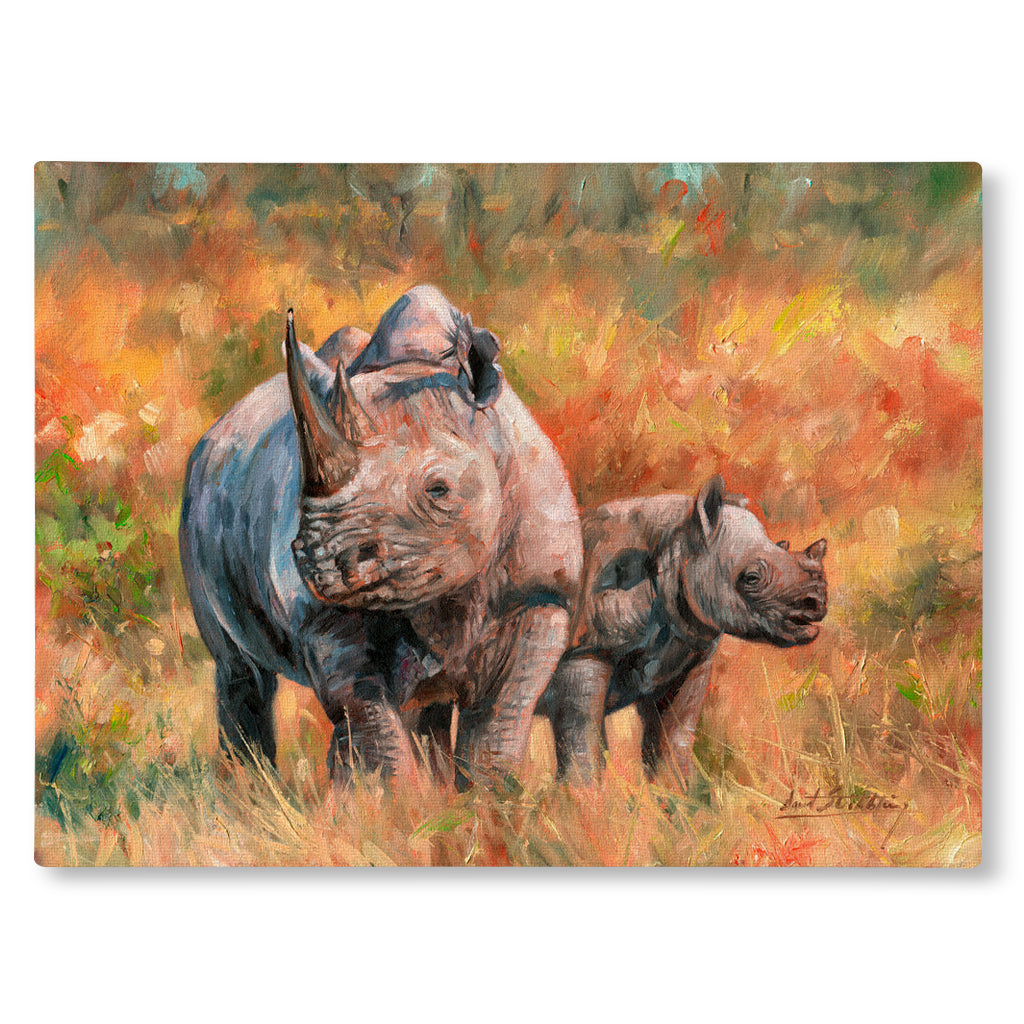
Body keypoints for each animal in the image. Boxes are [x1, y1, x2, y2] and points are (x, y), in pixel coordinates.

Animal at [179, 286, 583, 785]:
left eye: (438, 489)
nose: (323, 562)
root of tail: (213, 432)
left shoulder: (540, 593)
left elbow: (498, 719)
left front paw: (488, 800)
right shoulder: (323, 617)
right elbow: (369, 717)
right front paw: (396, 803)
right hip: (197, 500)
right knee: (240, 670)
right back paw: (252, 791)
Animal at [538, 475, 827, 780]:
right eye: (752, 578)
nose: (818, 603)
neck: (676, 540)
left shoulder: (692, 649)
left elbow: (674, 739)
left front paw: (673, 790)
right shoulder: (584, 649)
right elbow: (582, 742)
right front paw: (582, 793)